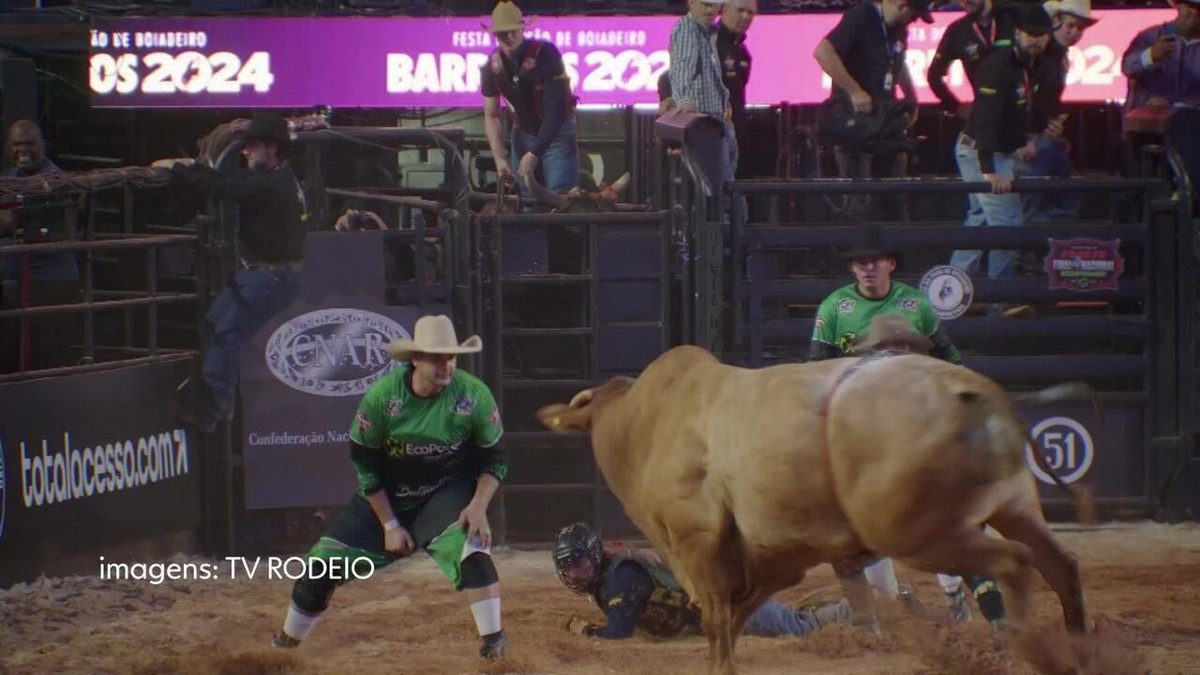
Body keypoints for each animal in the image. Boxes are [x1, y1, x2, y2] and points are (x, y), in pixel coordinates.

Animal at [540, 343, 1094, 672]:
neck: (646, 422)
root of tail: (974, 389)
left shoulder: (700, 543)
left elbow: (718, 621)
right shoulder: (768, 562)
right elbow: (734, 619)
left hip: (919, 532)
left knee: (1014, 565)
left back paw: (1029, 652)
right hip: (1013, 507)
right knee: (1059, 564)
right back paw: (1080, 649)